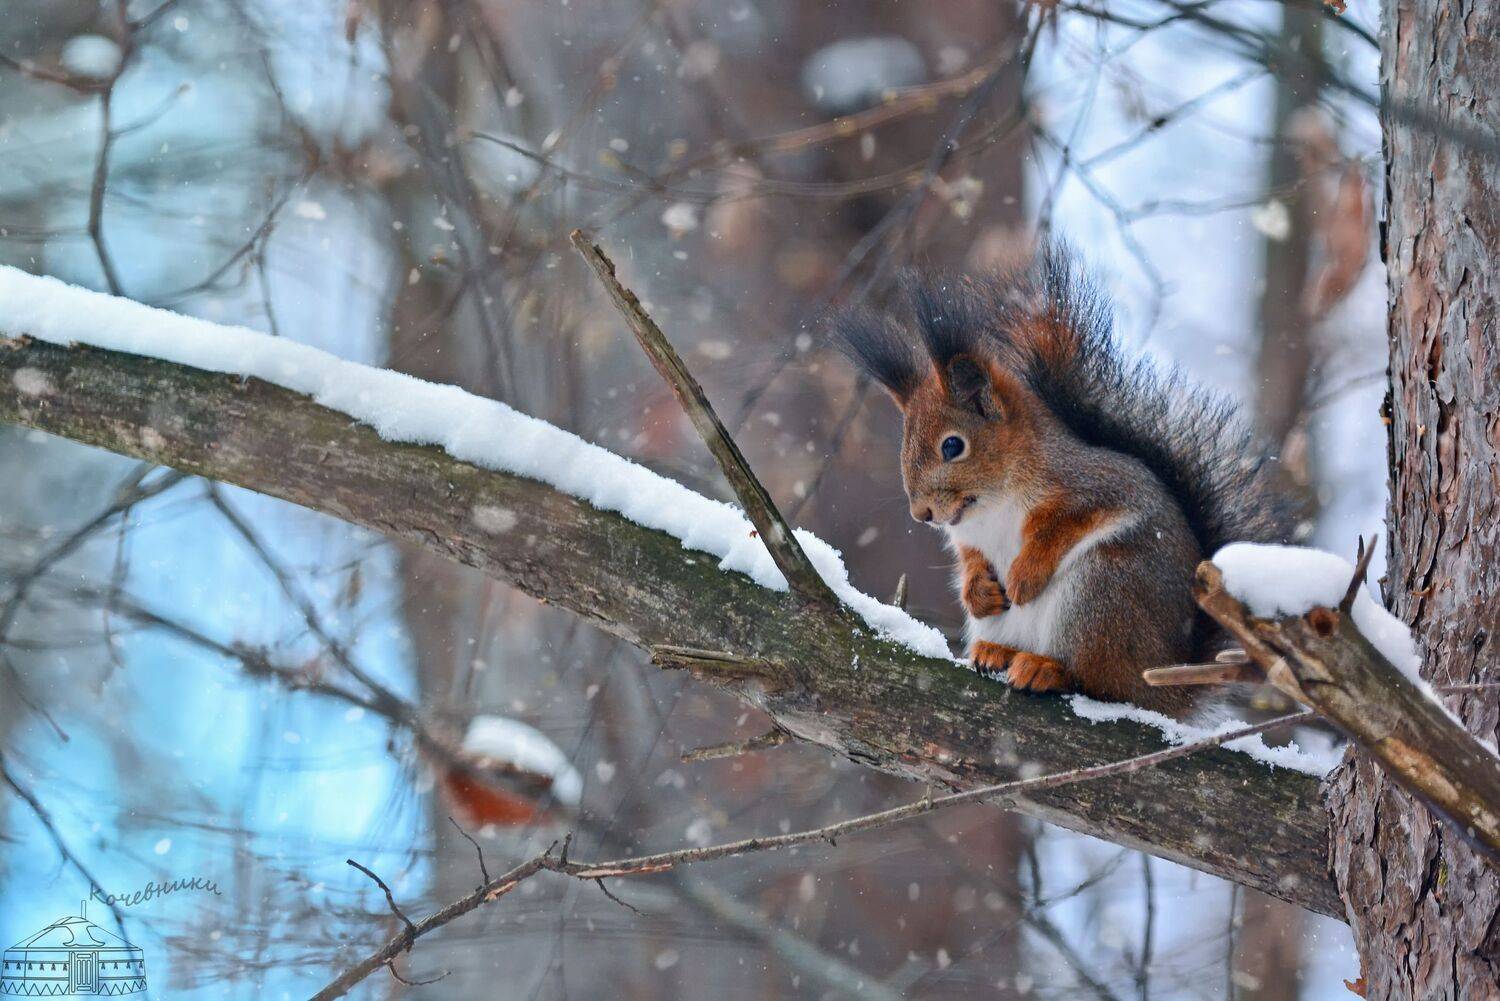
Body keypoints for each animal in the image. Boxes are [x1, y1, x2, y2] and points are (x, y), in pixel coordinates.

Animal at [832, 247, 1299, 713]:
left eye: (952, 446)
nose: (922, 513)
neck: (993, 504)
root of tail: (1167, 684)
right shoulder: (969, 538)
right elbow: (971, 559)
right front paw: (978, 590)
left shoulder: (1098, 485)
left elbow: (1066, 524)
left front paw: (1025, 575)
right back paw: (997, 652)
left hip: (1102, 594)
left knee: (1102, 683)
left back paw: (1048, 669)